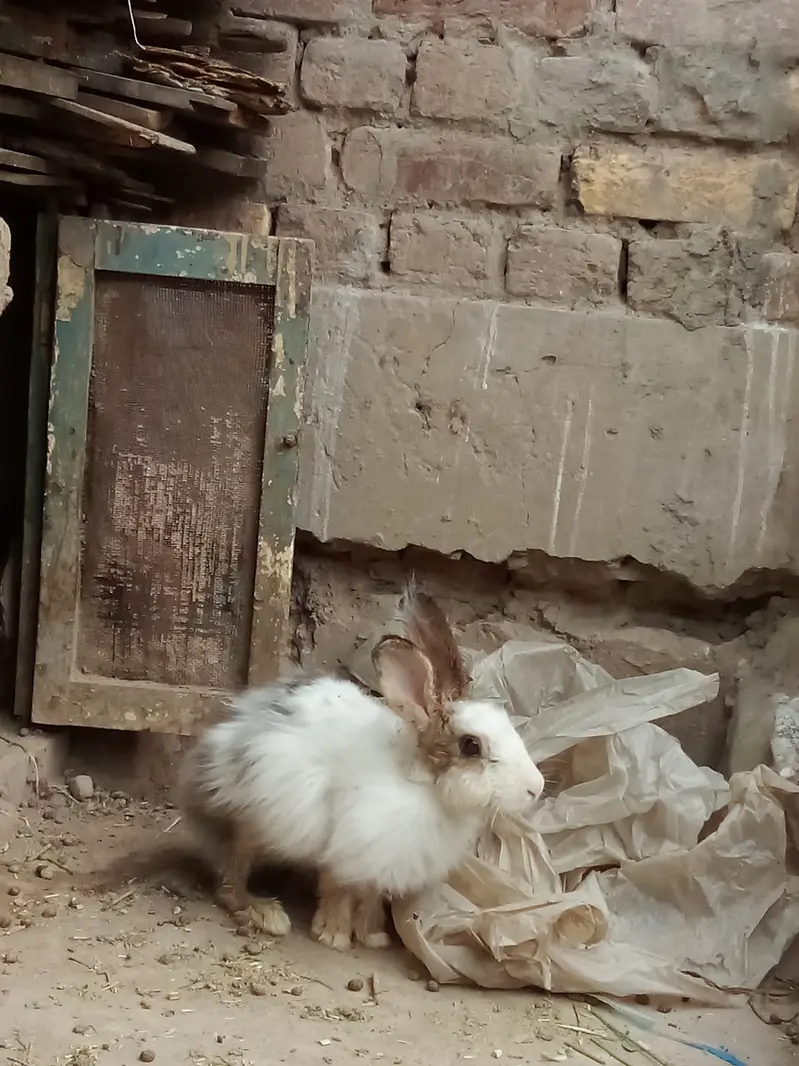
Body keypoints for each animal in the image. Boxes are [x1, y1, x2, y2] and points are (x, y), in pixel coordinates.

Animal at [178, 583, 545, 951]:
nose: (537, 788)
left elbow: (370, 895)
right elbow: (338, 890)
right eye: (471, 746)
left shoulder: (380, 863)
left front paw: (373, 936)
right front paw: (334, 936)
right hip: (255, 818)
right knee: (230, 880)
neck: (420, 783)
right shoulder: (349, 845)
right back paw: (267, 913)